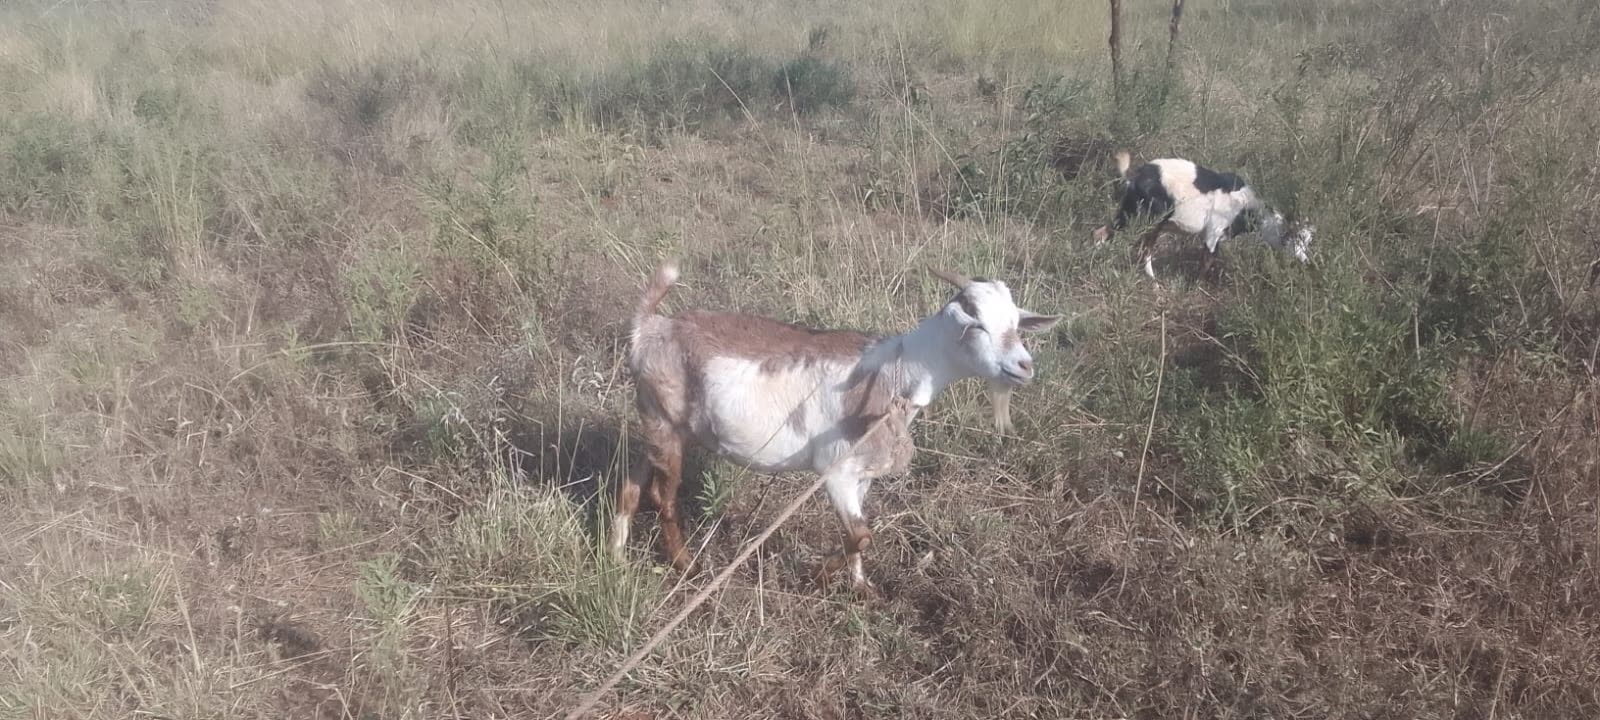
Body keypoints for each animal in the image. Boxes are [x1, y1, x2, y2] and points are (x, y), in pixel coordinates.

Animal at [613, 261, 1061, 592]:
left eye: (1016, 323)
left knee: (632, 485)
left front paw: (860, 588)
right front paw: (819, 575)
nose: (1023, 366)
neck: (896, 371)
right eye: (977, 323)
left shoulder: (861, 475)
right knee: (663, 496)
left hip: (654, 420)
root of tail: (649, 327)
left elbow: (858, 532)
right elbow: (861, 535)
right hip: (665, 422)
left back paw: (617, 552)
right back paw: (685, 566)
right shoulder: (836, 471)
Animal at [1092, 151, 1315, 279]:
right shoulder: (1213, 233)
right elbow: (1206, 263)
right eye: (1292, 237)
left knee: (1111, 236)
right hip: (1144, 219)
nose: (1305, 261)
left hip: (1132, 214)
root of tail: (1135, 176)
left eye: (1308, 240)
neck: (1246, 207)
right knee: (1133, 244)